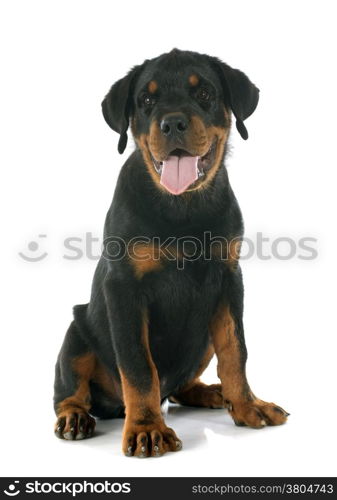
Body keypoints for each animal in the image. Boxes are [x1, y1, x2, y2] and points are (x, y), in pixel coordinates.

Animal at [53, 47, 288, 458]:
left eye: (205, 94)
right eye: (146, 101)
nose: (173, 123)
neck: (182, 206)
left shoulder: (229, 278)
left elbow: (235, 350)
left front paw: (248, 405)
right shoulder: (124, 288)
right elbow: (138, 365)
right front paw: (146, 429)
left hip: (202, 336)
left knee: (181, 386)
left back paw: (214, 394)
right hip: (76, 331)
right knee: (69, 390)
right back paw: (75, 417)